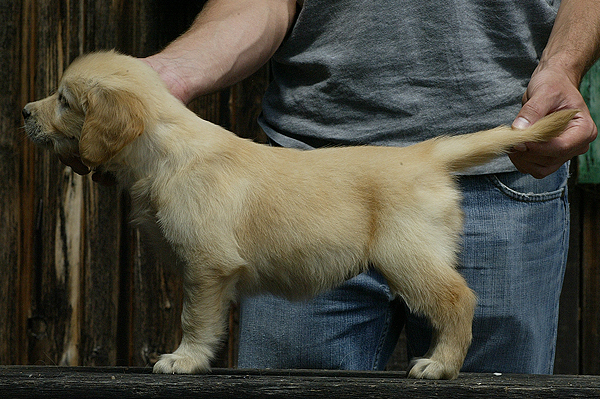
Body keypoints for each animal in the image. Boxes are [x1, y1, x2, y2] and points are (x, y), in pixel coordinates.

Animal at [22, 51, 577, 379]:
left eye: (64, 100)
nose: (25, 111)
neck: (162, 153)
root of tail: (426, 153)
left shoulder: (206, 264)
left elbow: (194, 318)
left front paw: (184, 359)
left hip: (408, 254)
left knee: (460, 299)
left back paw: (440, 366)